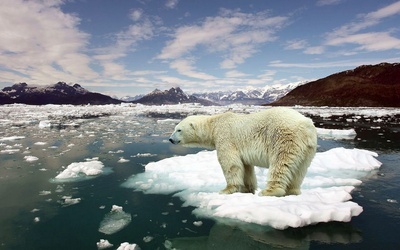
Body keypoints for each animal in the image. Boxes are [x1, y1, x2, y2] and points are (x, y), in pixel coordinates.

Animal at [167, 106, 318, 196]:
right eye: (175, 128)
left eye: (178, 130)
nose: (170, 139)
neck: (214, 125)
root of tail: (306, 125)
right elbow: (246, 167)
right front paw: (247, 189)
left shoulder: (226, 137)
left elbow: (230, 163)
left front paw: (226, 190)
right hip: (307, 148)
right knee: (300, 169)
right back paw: (293, 191)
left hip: (284, 138)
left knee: (281, 163)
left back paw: (270, 191)